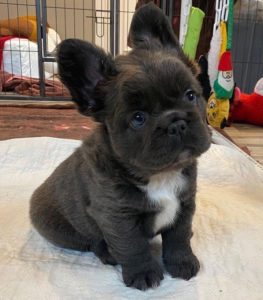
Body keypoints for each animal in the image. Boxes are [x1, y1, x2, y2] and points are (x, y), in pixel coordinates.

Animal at [30, 2, 212, 290]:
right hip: (64, 228)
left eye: (191, 95)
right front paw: (143, 272)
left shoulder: (185, 203)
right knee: (93, 242)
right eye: (138, 118)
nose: (176, 122)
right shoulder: (117, 217)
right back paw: (108, 254)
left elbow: (179, 237)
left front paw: (182, 262)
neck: (160, 175)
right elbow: (133, 246)